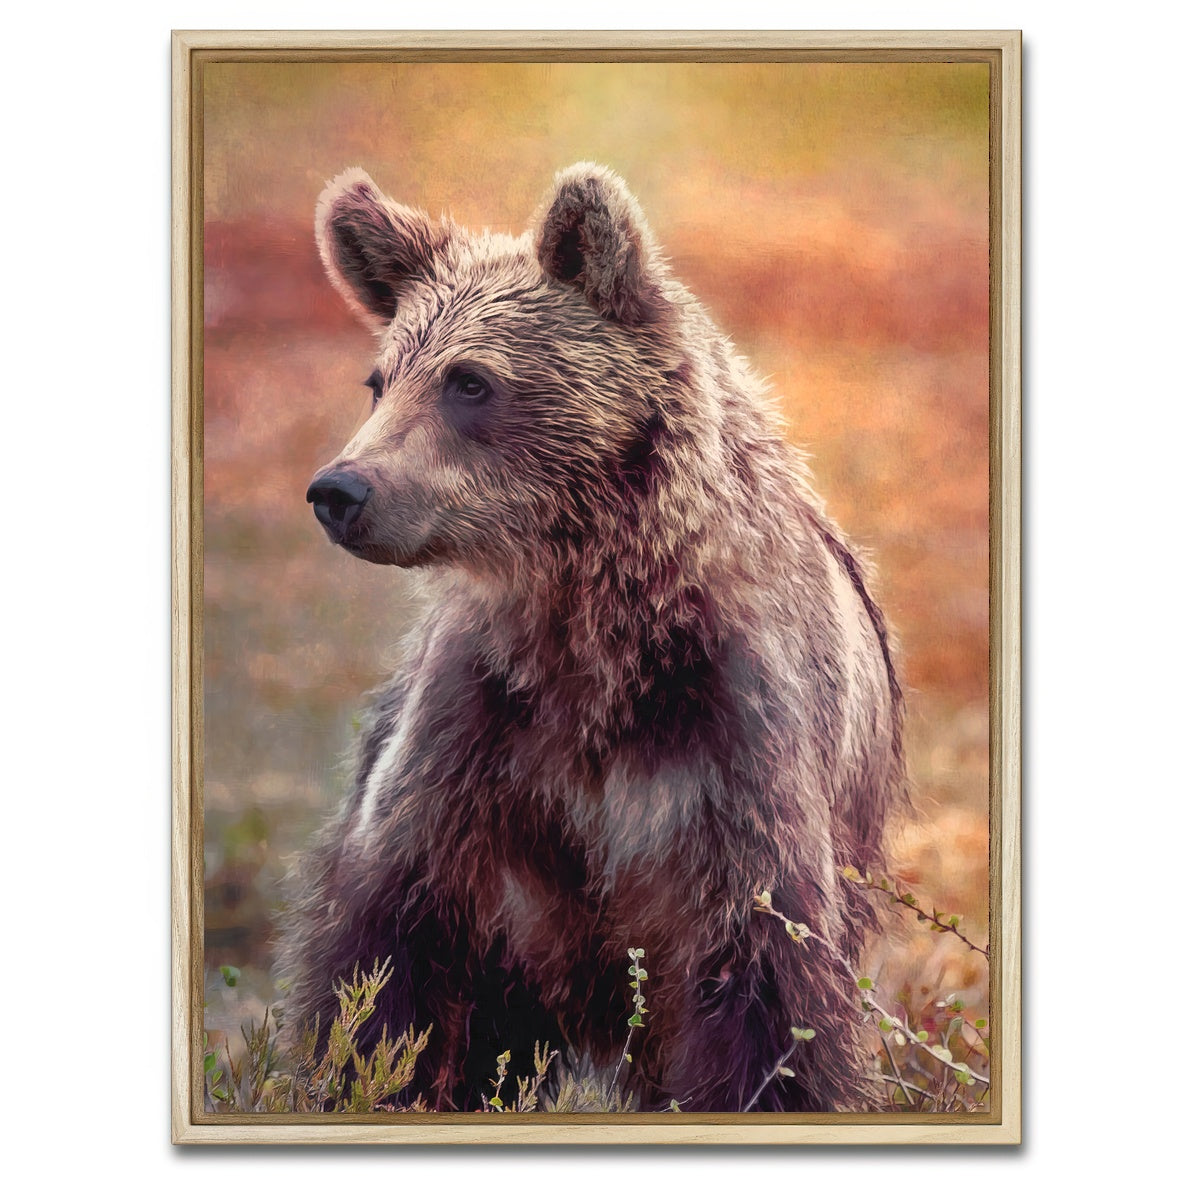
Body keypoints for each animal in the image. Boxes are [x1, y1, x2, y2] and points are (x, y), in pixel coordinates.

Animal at [277, 162, 906, 1113]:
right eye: (380, 380)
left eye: (470, 381)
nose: (341, 490)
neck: (594, 629)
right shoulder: (478, 738)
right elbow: (388, 962)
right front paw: (368, 1074)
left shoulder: (733, 746)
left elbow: (767, 994)